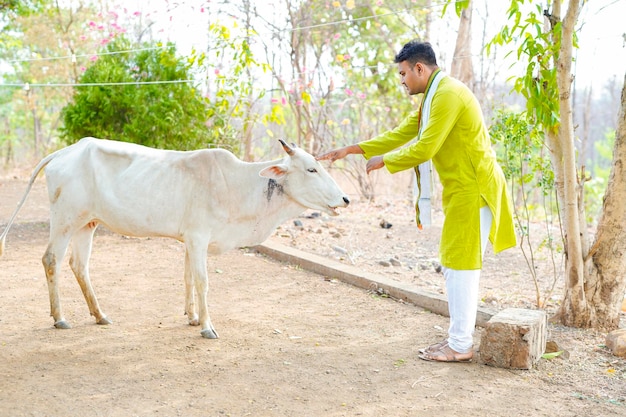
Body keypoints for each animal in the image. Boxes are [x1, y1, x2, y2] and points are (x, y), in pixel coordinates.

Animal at [0, 137, 348, 338]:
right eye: (311, 169)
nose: (344, 199)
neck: (237, 185)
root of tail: (65, 152)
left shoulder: (190, 241)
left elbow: (188, 278)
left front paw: (192, 317)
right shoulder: (198, 237)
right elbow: (203, 281)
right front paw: (207, 326)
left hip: (88, 223)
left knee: (79, 265)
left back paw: (100, 315)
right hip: (64, 220)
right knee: (51, 260)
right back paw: (60, 318)